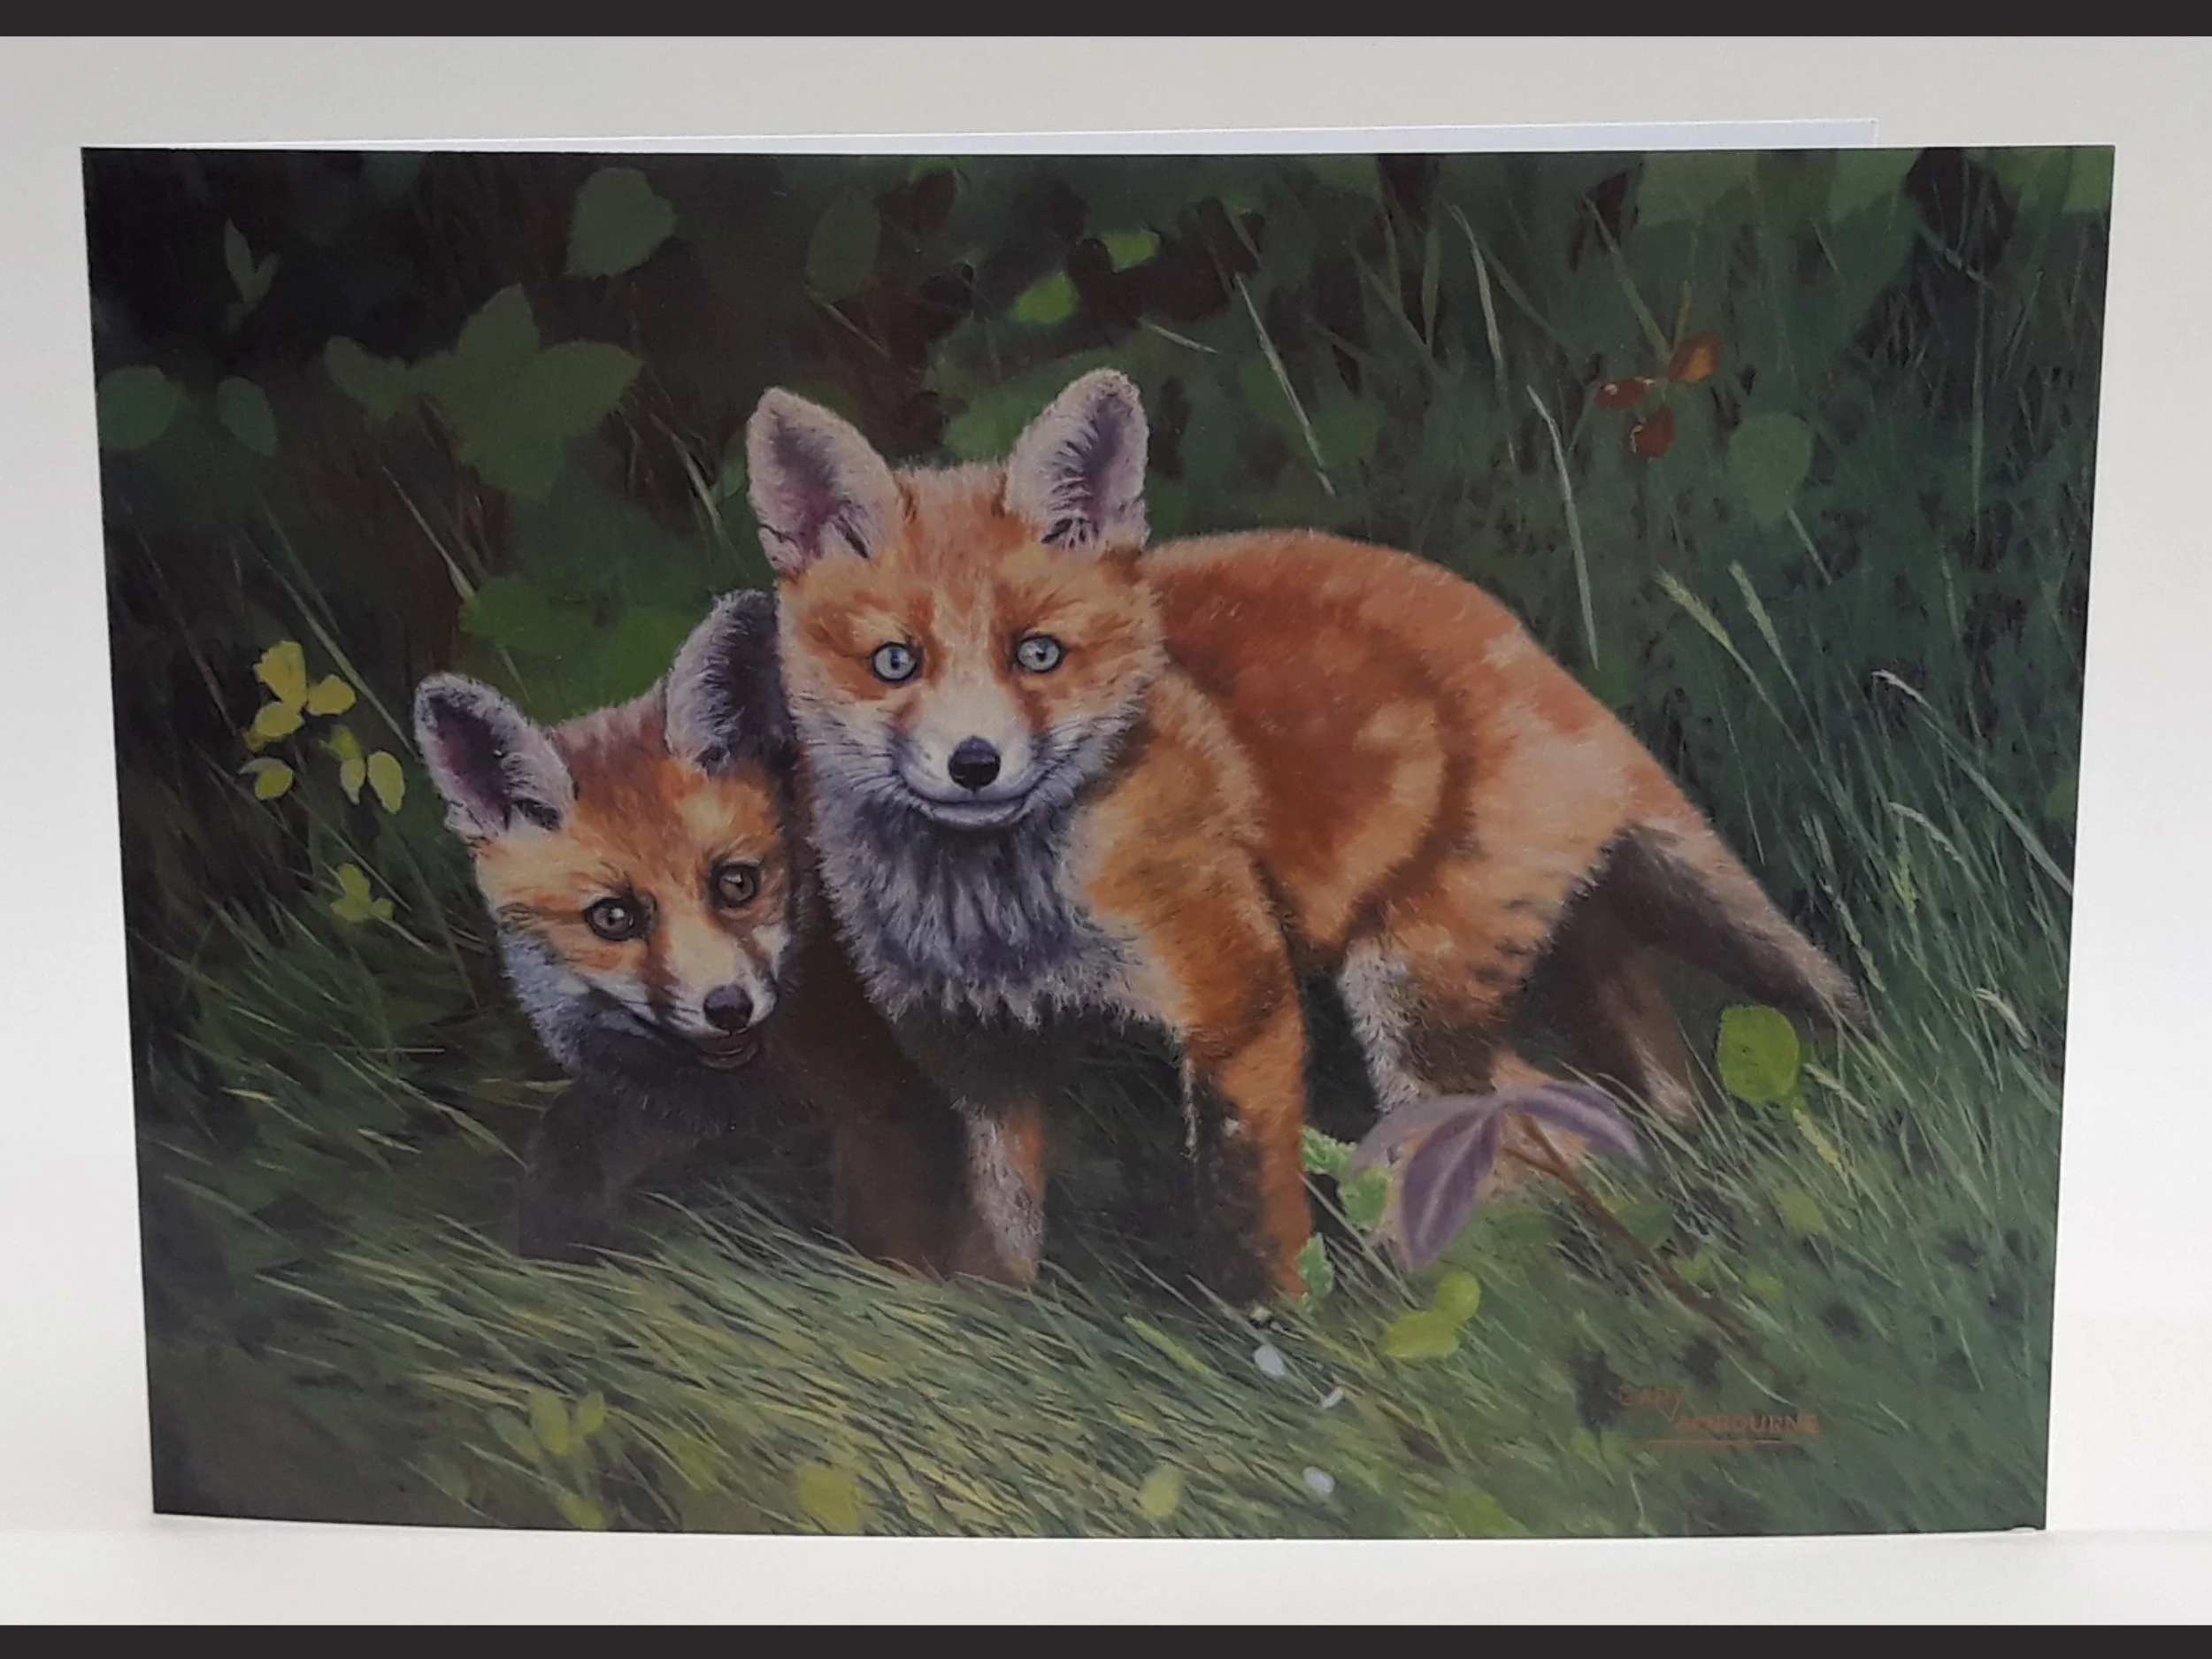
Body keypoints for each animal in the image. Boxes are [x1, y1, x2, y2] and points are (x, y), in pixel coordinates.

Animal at [414, 591, 973, 1273]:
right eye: (614, 917)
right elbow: (564, 1152)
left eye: (736, 883)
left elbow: (891, 1243)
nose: (727, 1008)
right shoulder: (656, 1105)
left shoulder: (889, 1101)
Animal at [746, 368, 1867, 1301]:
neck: (1003, 912)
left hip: (1408, 996)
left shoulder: (1237, 1003)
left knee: (1519, 1136)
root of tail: (1525, 646)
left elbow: (1249, 1210)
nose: (974, 764)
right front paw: (994, 1325)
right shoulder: (980, 1057)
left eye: (1038, 654)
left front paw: (1275, 1340)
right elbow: (1000, 1231)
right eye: (895, 663)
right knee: (1581, 1117)